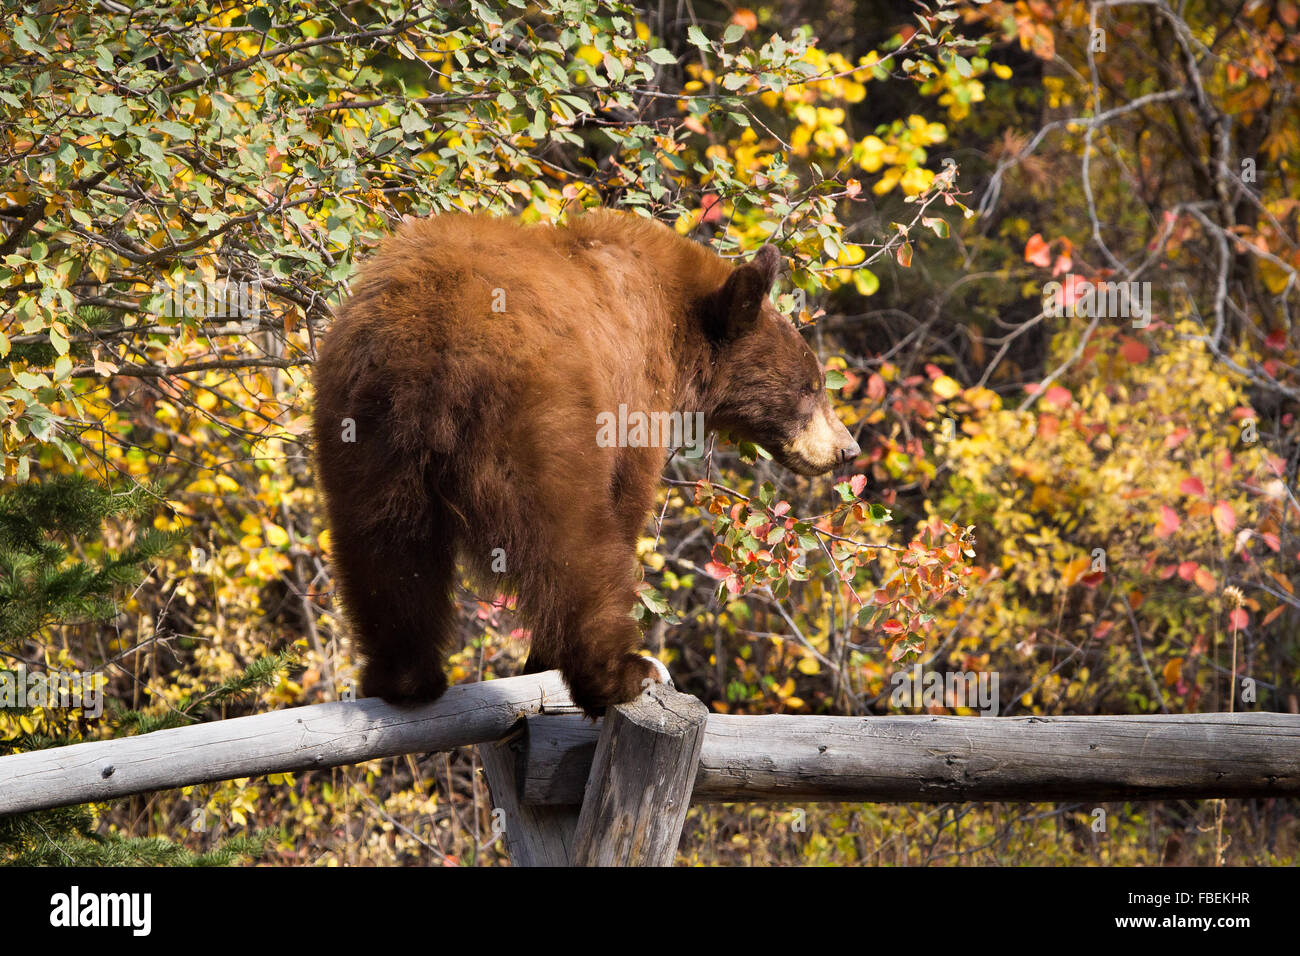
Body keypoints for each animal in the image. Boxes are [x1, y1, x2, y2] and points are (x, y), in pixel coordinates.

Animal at [313, 210, 857, 717]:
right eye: (811, 386)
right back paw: (621, 673)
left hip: (366, 432)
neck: (673, 317)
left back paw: (405, 679)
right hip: (538, 422)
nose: (846, 449)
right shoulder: (632, 393)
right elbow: (626, 500)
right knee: (570, 544)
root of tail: (433, 341)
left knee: (386, 549)